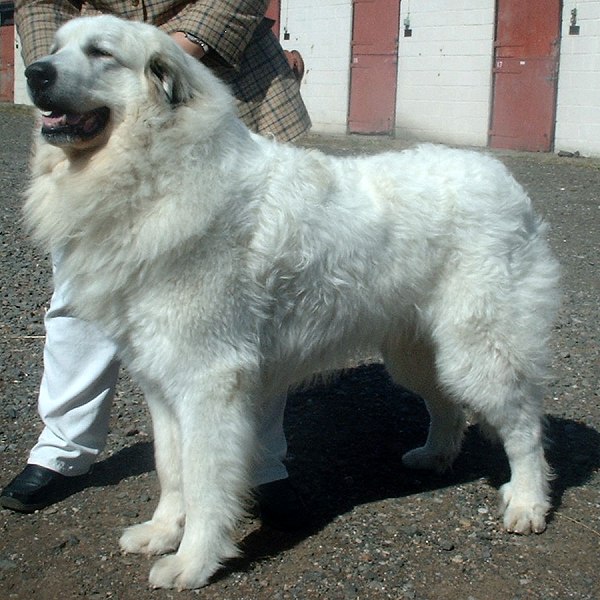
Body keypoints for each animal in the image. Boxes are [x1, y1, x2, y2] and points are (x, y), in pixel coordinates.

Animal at [23, 15, 556, 592]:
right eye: (55, 47)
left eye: (100, 53)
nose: (33, 73)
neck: (157, 168)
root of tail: (505, 180)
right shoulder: (162, 381)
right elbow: (172, 467)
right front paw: (163, 532)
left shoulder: (209, 380)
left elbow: (205, 478)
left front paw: (193, 561)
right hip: (416, 352)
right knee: (447, 405)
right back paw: (435, 456)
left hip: (479, 349)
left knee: (524, 427)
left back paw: (528, 503)